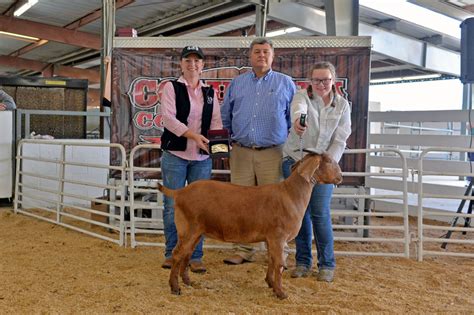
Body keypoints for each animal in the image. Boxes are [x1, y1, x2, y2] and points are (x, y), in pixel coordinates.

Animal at [157, 153, 342, 302]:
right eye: (329, 161)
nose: (340, 176)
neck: (291, 194)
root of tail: (179, 192)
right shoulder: (278, 237)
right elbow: (279, 264)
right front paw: (281, 293)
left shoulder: (270, 238)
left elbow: (272, 260)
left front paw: (271, 284)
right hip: (188, 228)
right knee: (177, 254)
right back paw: (175, 288)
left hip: (196, 231)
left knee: (186, 254)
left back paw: (188, 282)